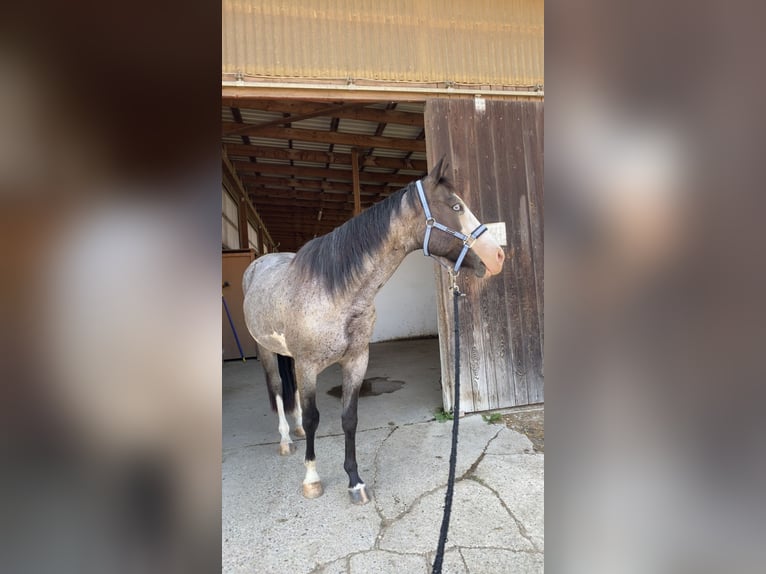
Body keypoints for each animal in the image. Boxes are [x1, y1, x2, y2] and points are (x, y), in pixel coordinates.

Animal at [243, 158, 508, 504]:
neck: (335, 293)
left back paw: (296, 430)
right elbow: (315, 418)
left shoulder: (356, 361)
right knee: (277, 388)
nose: (498, 256)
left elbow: (349, 419)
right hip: (266, 350)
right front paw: (312, 478)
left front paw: (355, 482)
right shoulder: (309, 365)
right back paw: (287, 440)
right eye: (456, 206)